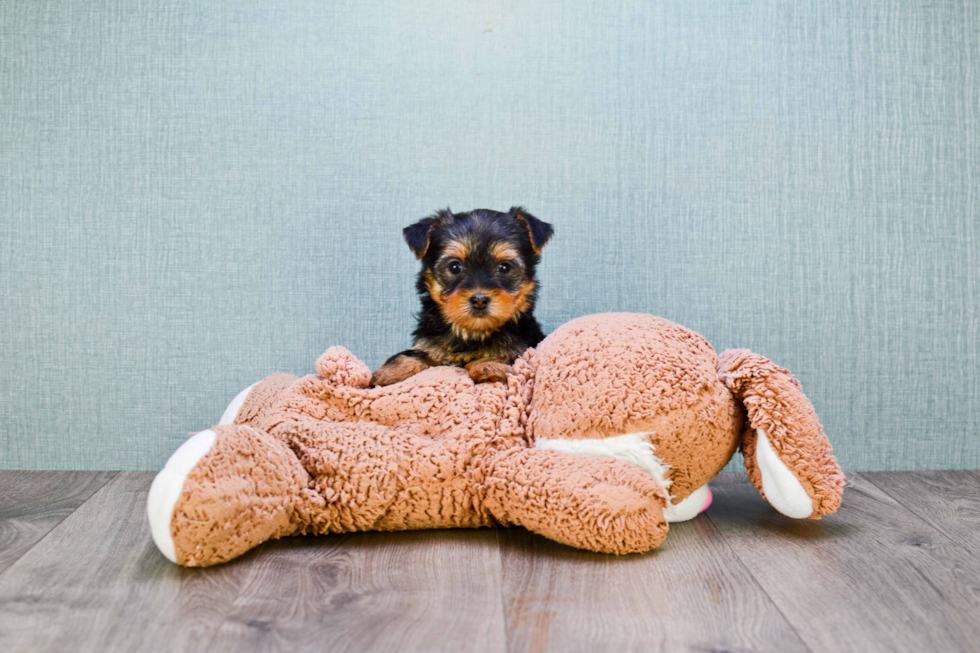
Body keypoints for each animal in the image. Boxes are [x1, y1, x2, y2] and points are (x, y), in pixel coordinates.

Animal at [370, 206, 552, 384]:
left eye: (504, 267)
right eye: (454, 267)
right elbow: (413, 354)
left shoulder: (522, 348)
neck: (472, 333)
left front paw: (488, 366)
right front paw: (389, 372)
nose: (479, 300)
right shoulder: (428, 344)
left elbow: (505, 354)